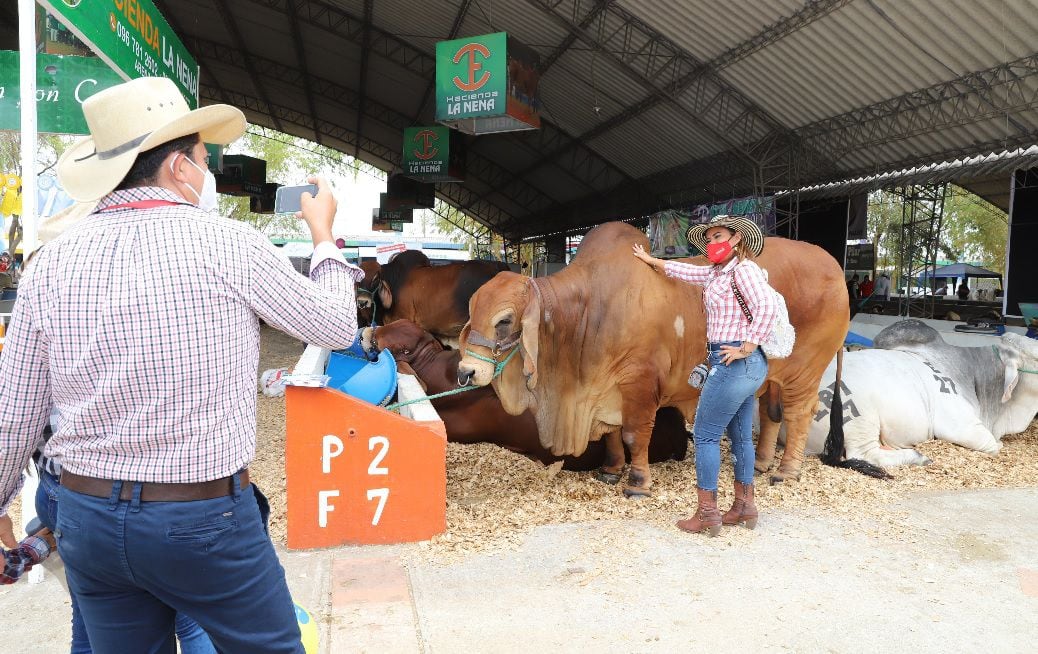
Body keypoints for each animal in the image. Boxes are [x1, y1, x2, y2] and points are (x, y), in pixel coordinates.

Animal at [458, 222, 847, 496]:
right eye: (472, 311)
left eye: (504, 320)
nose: (466, 371)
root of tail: (834, 267)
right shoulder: (606, 388)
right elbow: (612, 436)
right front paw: (611, 471)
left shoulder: (639, 382)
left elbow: (634, 435)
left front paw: (638, 483)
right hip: (771, 378)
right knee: (770, 414)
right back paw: (763, 463)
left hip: (805, 372)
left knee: (798, 415)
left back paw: (786, 471)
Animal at [805, 319, 1038, 473]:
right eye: (1036, 356)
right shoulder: (963, 426)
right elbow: (993, 445)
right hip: (858, 416)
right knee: (865, 454)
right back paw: (917, 456)